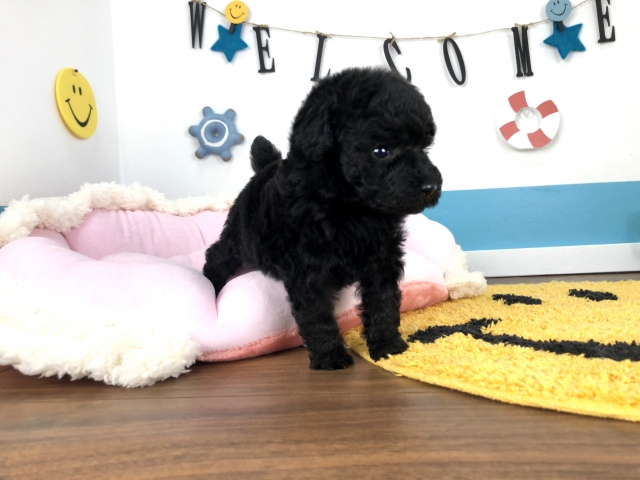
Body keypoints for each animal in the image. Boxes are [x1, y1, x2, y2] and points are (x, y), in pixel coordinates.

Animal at [203, 67, 442, 370]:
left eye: (425, 146)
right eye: (381, 151)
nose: (430, 186)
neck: (351, 207)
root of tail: (265, 169)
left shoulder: (382, 260)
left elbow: (383, 301)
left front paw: (387, 345)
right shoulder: (308, 269)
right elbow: (317, 314)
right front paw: (330, 357)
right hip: (241, 239)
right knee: (217, 254)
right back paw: (210, 282)